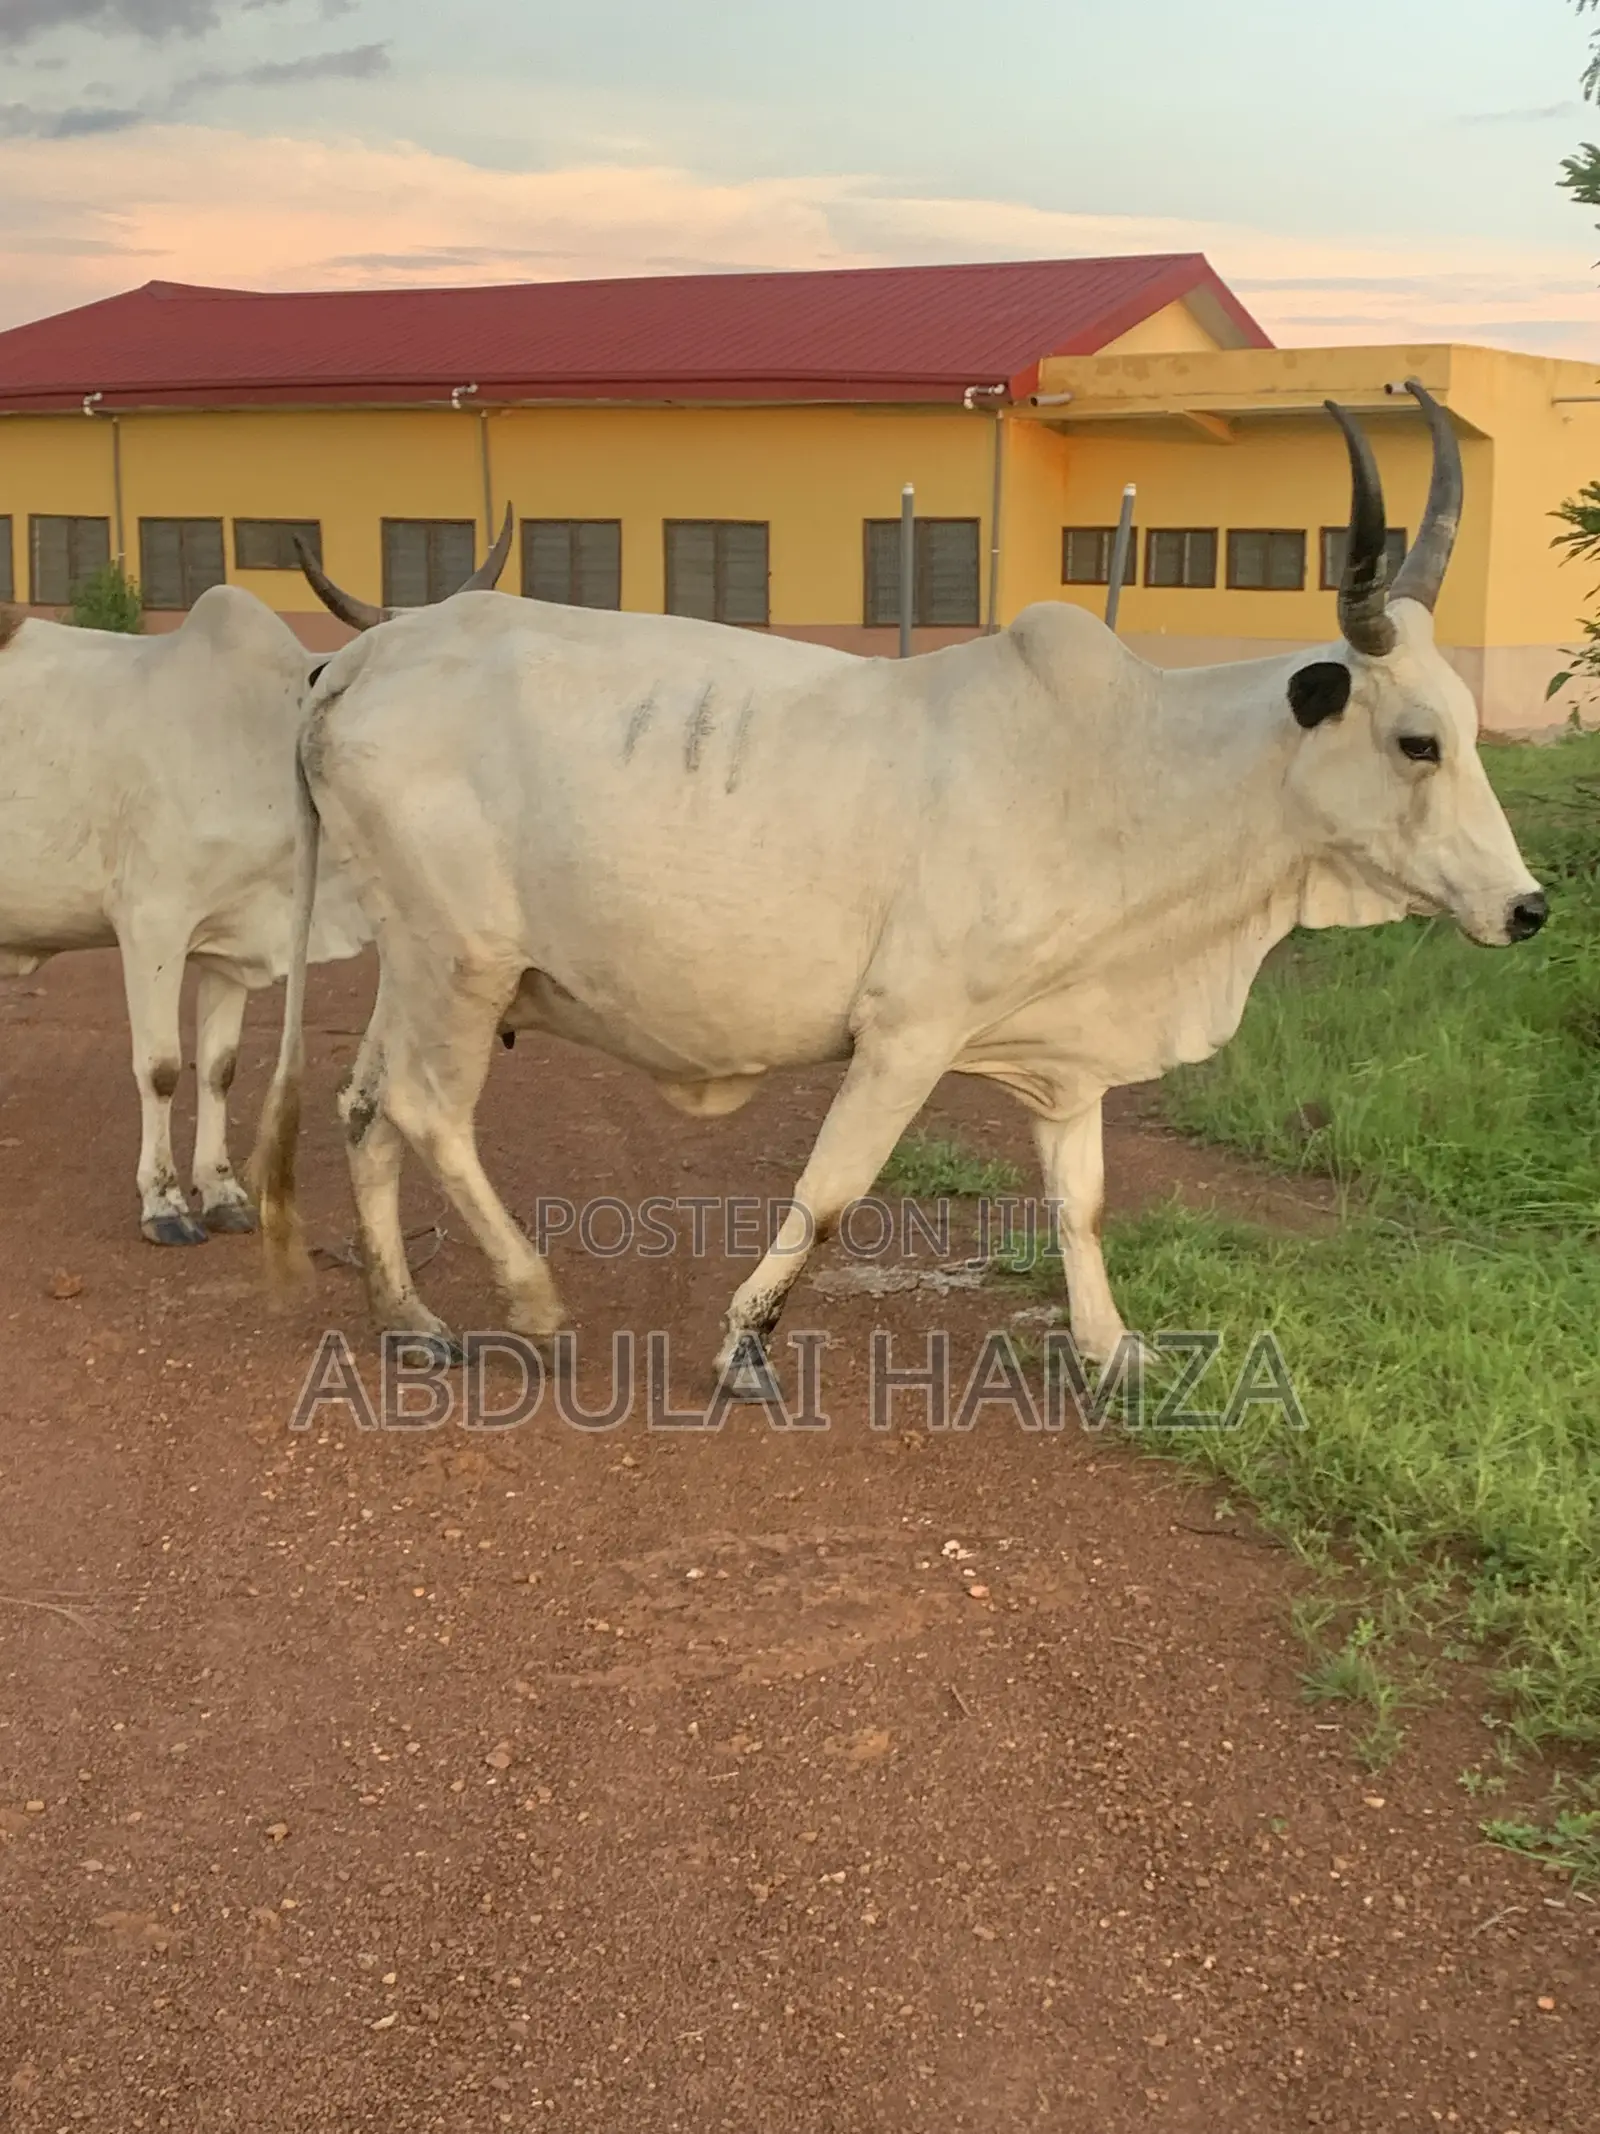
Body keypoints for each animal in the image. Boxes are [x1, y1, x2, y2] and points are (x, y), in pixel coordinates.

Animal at [0, 510, 513, 1245]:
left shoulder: (229, 939)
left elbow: (219, 1069)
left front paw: (221, 1192)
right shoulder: (151, 927)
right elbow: (160, 1069)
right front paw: (163, 1203)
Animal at [249, 381, 1546, 1395]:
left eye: (1467, 732)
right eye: (1418, 742)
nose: (1528, 907)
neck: (1127, 767)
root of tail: (370, 652)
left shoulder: (1064, 1056)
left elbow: (1079, 1201)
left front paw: (1111, 1348)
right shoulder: (908, 1031)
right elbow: (831, 1190)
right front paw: (744, 1346)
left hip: (419, 966)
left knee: (365, 1107)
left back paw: (408, 1316)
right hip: (463, 962)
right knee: (426, 1110)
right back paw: (529, 1298)